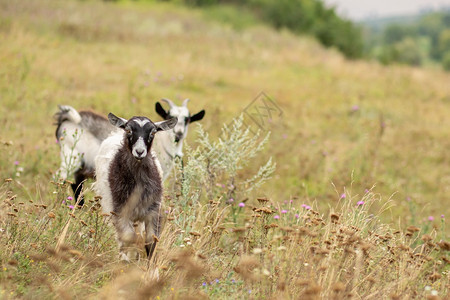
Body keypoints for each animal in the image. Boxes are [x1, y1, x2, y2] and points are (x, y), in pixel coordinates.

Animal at [94, 112, 176, 260]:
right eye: (128, 130)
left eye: (153, 132)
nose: (139, 151)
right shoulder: (121, 211)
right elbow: (128, 237)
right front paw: (127, 260)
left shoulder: (153, 211)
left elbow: (151, 242)